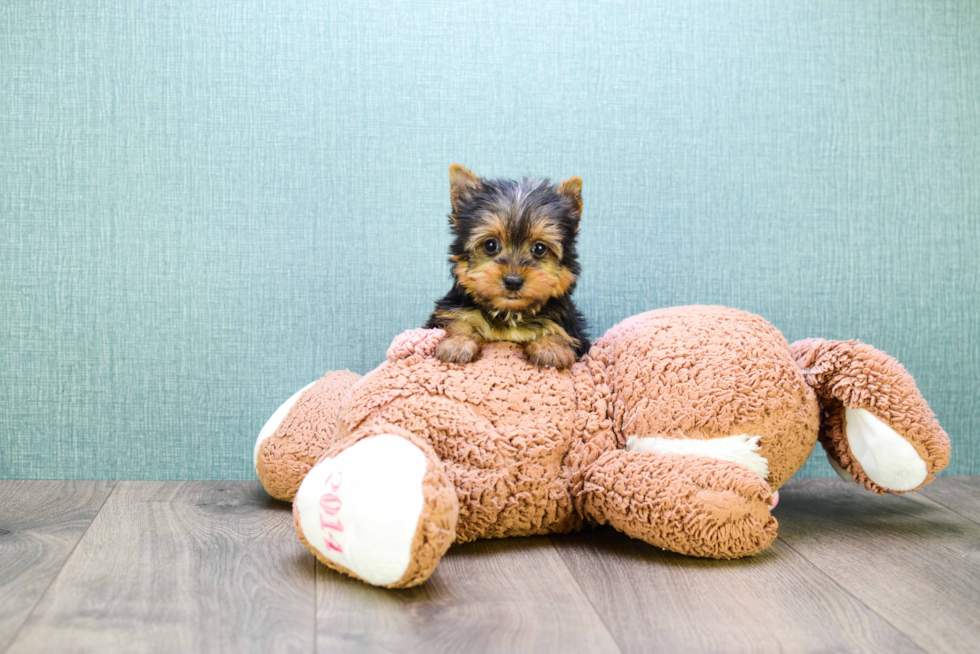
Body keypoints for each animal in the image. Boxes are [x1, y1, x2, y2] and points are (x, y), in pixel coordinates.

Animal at [424, 164, 588, 372]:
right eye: (490, 245)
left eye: (539, 248)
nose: (513, 281)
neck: (509, 313)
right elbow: (459, 322)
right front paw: (458, 343)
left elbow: (557, 331)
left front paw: (551, 347)